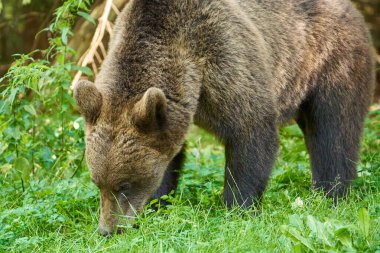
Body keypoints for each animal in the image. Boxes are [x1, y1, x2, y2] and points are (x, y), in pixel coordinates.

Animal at [73, 0, 374, 236]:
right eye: (97, 183)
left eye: (124, 184)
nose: (107, 230)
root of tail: (352, 8)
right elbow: (170, 156)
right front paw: (157, 204)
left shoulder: (225, 56)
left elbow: (251, 133)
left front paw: (237, 209)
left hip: (329, 60)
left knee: (333, 131)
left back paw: (330, 193)